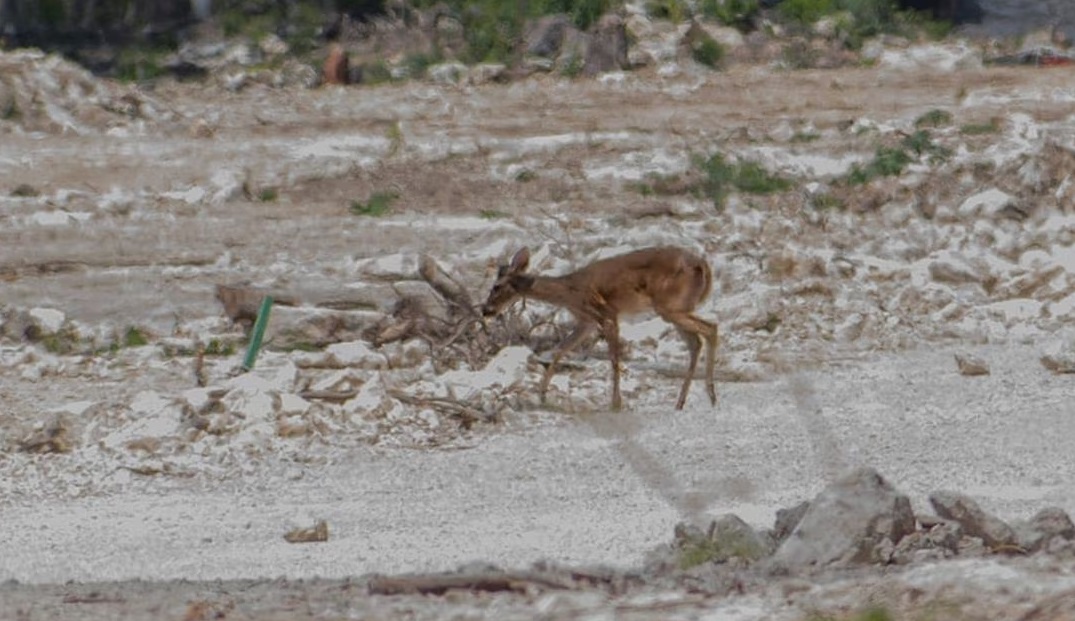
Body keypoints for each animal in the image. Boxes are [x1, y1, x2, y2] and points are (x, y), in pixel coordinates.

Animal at [481, 247, 718, 410]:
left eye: (496, 287)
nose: (485, 310)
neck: (568, 292)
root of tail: (703, 265)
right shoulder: (586, 322)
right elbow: (561, 349)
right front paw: (542, 395)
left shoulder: (607, 315)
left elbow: (613, 359)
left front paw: (615, 404)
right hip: (674, 309)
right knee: (696, 342)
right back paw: (684, 401)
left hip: (669, 307)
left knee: (711, 328)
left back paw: (711, 396)